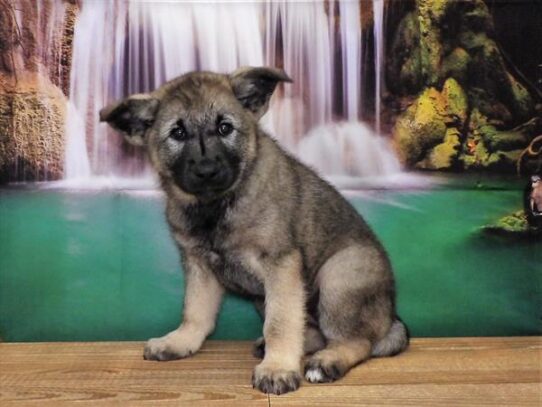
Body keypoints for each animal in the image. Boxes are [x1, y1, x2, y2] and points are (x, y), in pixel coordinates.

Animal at [100, 67, 410, 396]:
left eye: (225, 127)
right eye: (178, 133)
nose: (207, 170)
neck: (217, 206)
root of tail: (390, 317)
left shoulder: (281, 264)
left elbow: (280, 322)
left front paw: (278, 368)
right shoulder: (199, 265)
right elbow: (195, 311)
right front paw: (181, 341)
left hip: (340, 275)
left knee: (358, 341)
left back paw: (326, 362)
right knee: (313, 329)